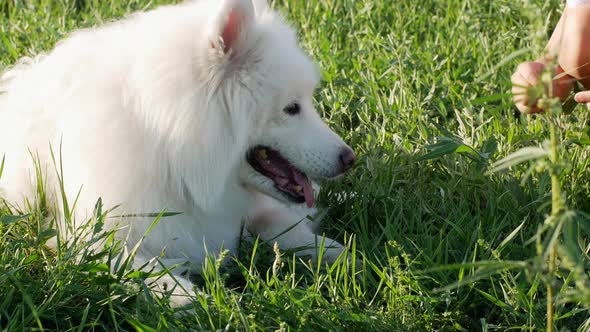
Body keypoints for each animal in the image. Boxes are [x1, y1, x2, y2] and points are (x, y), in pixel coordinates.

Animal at [0, 0, 354, 302]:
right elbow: (142, 268)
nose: (349, 158)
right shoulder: (94, 237)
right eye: (291, 108)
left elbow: (281, 226)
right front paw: (190, 299)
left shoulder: (248, 211)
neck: (174, 155)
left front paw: (340, 255)